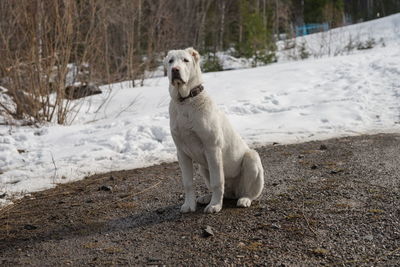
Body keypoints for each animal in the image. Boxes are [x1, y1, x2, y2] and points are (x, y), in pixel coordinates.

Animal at [164, 48, 264, 215]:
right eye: (170, 61)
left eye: (185, 60)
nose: (175, 70)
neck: (186, 102)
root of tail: (234, 192)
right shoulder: (182, 153)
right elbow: (188, 183)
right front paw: (189, 205)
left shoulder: (212, 149)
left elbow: (218, 181)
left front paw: (215, 205)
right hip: (203, 168)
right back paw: (207, 197)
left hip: (252, 157)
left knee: (250, 192)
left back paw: (244, 200)